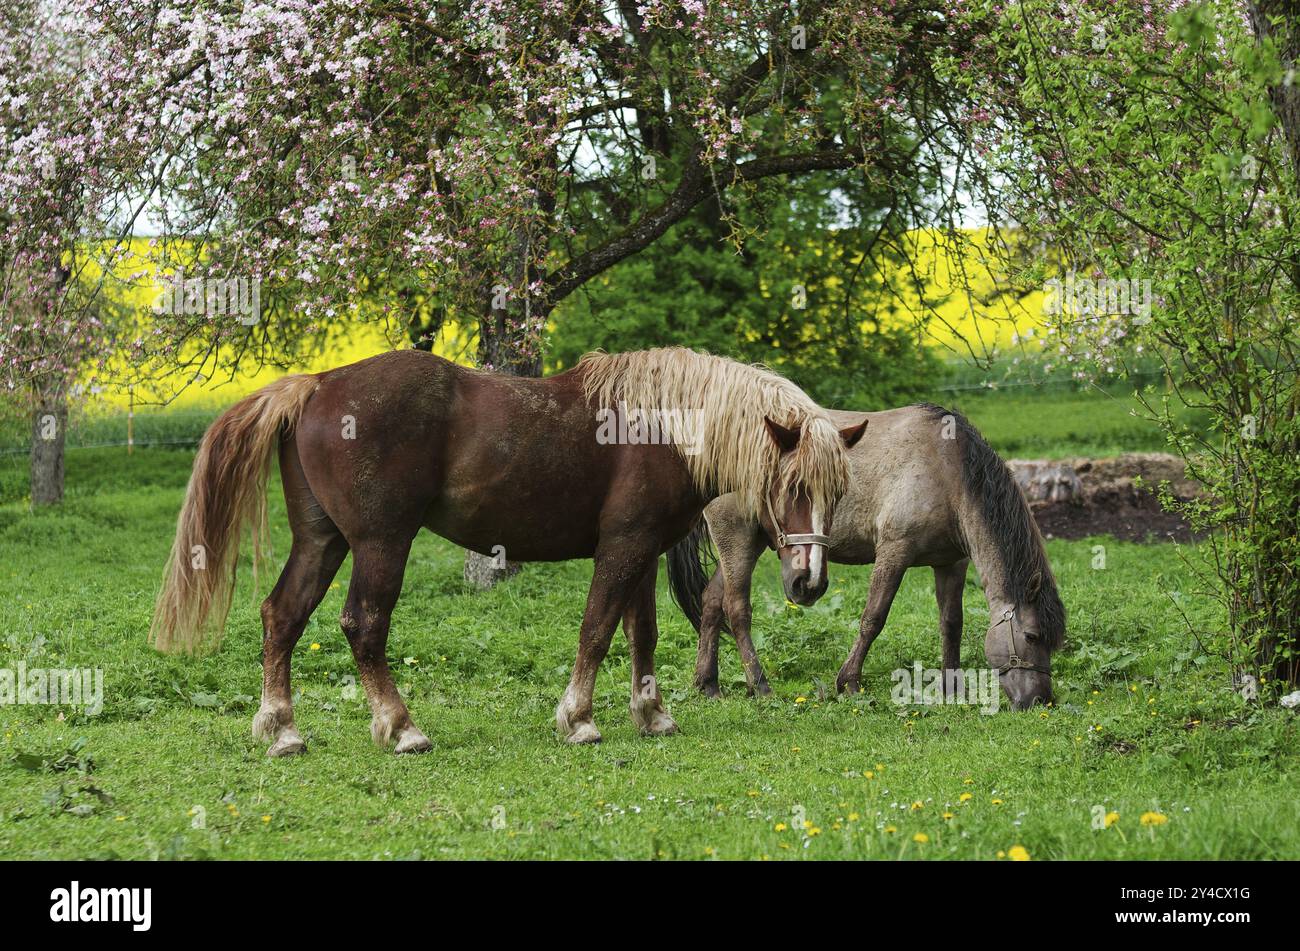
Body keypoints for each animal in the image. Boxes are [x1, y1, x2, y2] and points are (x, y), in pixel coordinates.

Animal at [149, 345, 863, 753]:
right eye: (792, 484)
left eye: (836, 488)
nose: (810, 583)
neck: (659, 423)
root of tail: (318, 383)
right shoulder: (623, 548)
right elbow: (597, 629)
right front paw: (579, 719)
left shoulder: (641, 552)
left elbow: (642, 635)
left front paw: (652, 715)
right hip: (381, 544)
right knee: (363, 624)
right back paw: (401, 728)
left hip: (322, 542)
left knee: (283, 617)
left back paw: (283, 729)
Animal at [670, 400, 1066, 706]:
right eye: (1032, 636)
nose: (1040, 700)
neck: (946, 468)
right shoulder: (894, 552)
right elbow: (873, 617)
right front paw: (849, 682)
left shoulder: (951, 563)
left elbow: (952, 623)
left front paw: (951, 686)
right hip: (737, 538)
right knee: (737, 609)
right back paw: (760, 684)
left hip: (750, 543)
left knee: (711, 602)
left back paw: (708, 684)